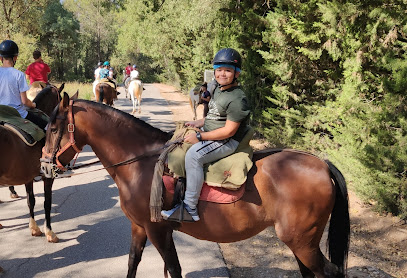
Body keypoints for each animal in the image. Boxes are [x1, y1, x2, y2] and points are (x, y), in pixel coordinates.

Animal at [0, 84, 64, 243]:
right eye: (60, 99)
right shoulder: (47, 176)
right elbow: (47, 203)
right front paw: (50, 232)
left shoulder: (27, 176)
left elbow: (31, 201)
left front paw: (34, 228)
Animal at [43, 94, 350, 278]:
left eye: (54, 128)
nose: (45, 166)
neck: (141, 163)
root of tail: (321, 164)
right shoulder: (139, 227)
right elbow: (133, 262)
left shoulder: (157, 230)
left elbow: (174, 269)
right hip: (301, 243)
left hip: (302, 241)